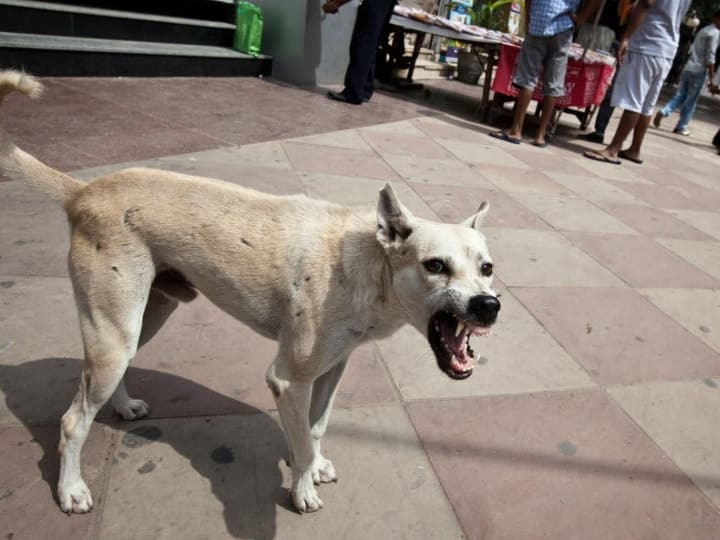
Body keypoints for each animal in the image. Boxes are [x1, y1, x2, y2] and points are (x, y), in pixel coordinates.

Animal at [0, 70, 500, 516]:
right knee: (72, 421)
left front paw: (315, 466)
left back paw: (122, 407)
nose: (489, 305)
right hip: (114, 332)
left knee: (112, 380)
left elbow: (315, 429)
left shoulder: (332, 369)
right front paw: (302, 489)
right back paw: (70, 490)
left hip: (143, 317)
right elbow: (300, 441)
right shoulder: (288, 378)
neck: (366, 266)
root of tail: (83, 190)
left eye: (487, 269)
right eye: (434, 266)